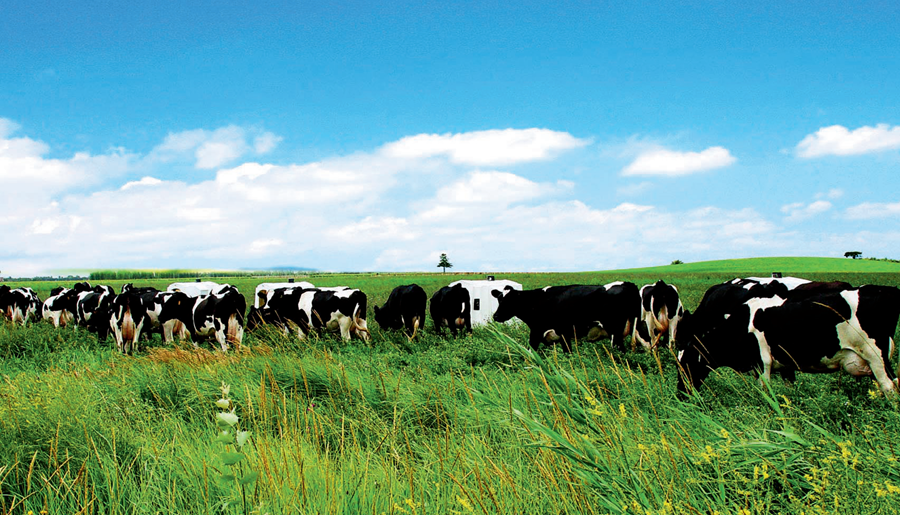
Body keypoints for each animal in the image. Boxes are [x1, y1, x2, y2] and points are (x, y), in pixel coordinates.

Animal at [676, 282, 900, 396]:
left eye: (687, 363)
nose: (681, 393)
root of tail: (886, 289)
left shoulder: (762, 364)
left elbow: (766, 395)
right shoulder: (786, 365)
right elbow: (788, 392)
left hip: (876, 357)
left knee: (890, 387)